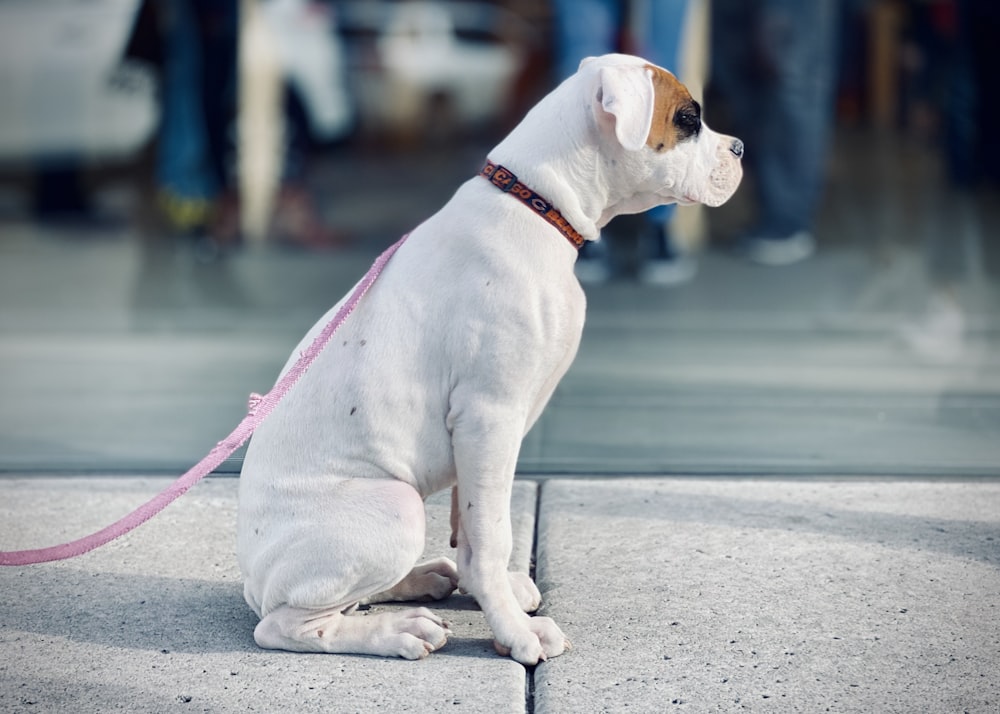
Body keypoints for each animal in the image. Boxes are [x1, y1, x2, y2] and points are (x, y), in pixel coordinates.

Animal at [236, 54, 744, 660]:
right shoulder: (490, 416)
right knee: (290, 623)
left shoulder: (480, 435)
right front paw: (514, 630)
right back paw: (397, 630)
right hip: (394, 507)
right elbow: (494, 532)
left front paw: (493, 594)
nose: (741, 148)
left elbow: (474, 531)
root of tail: (251, 578)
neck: (538, 205)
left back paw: (421, 579)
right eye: (688, 118)